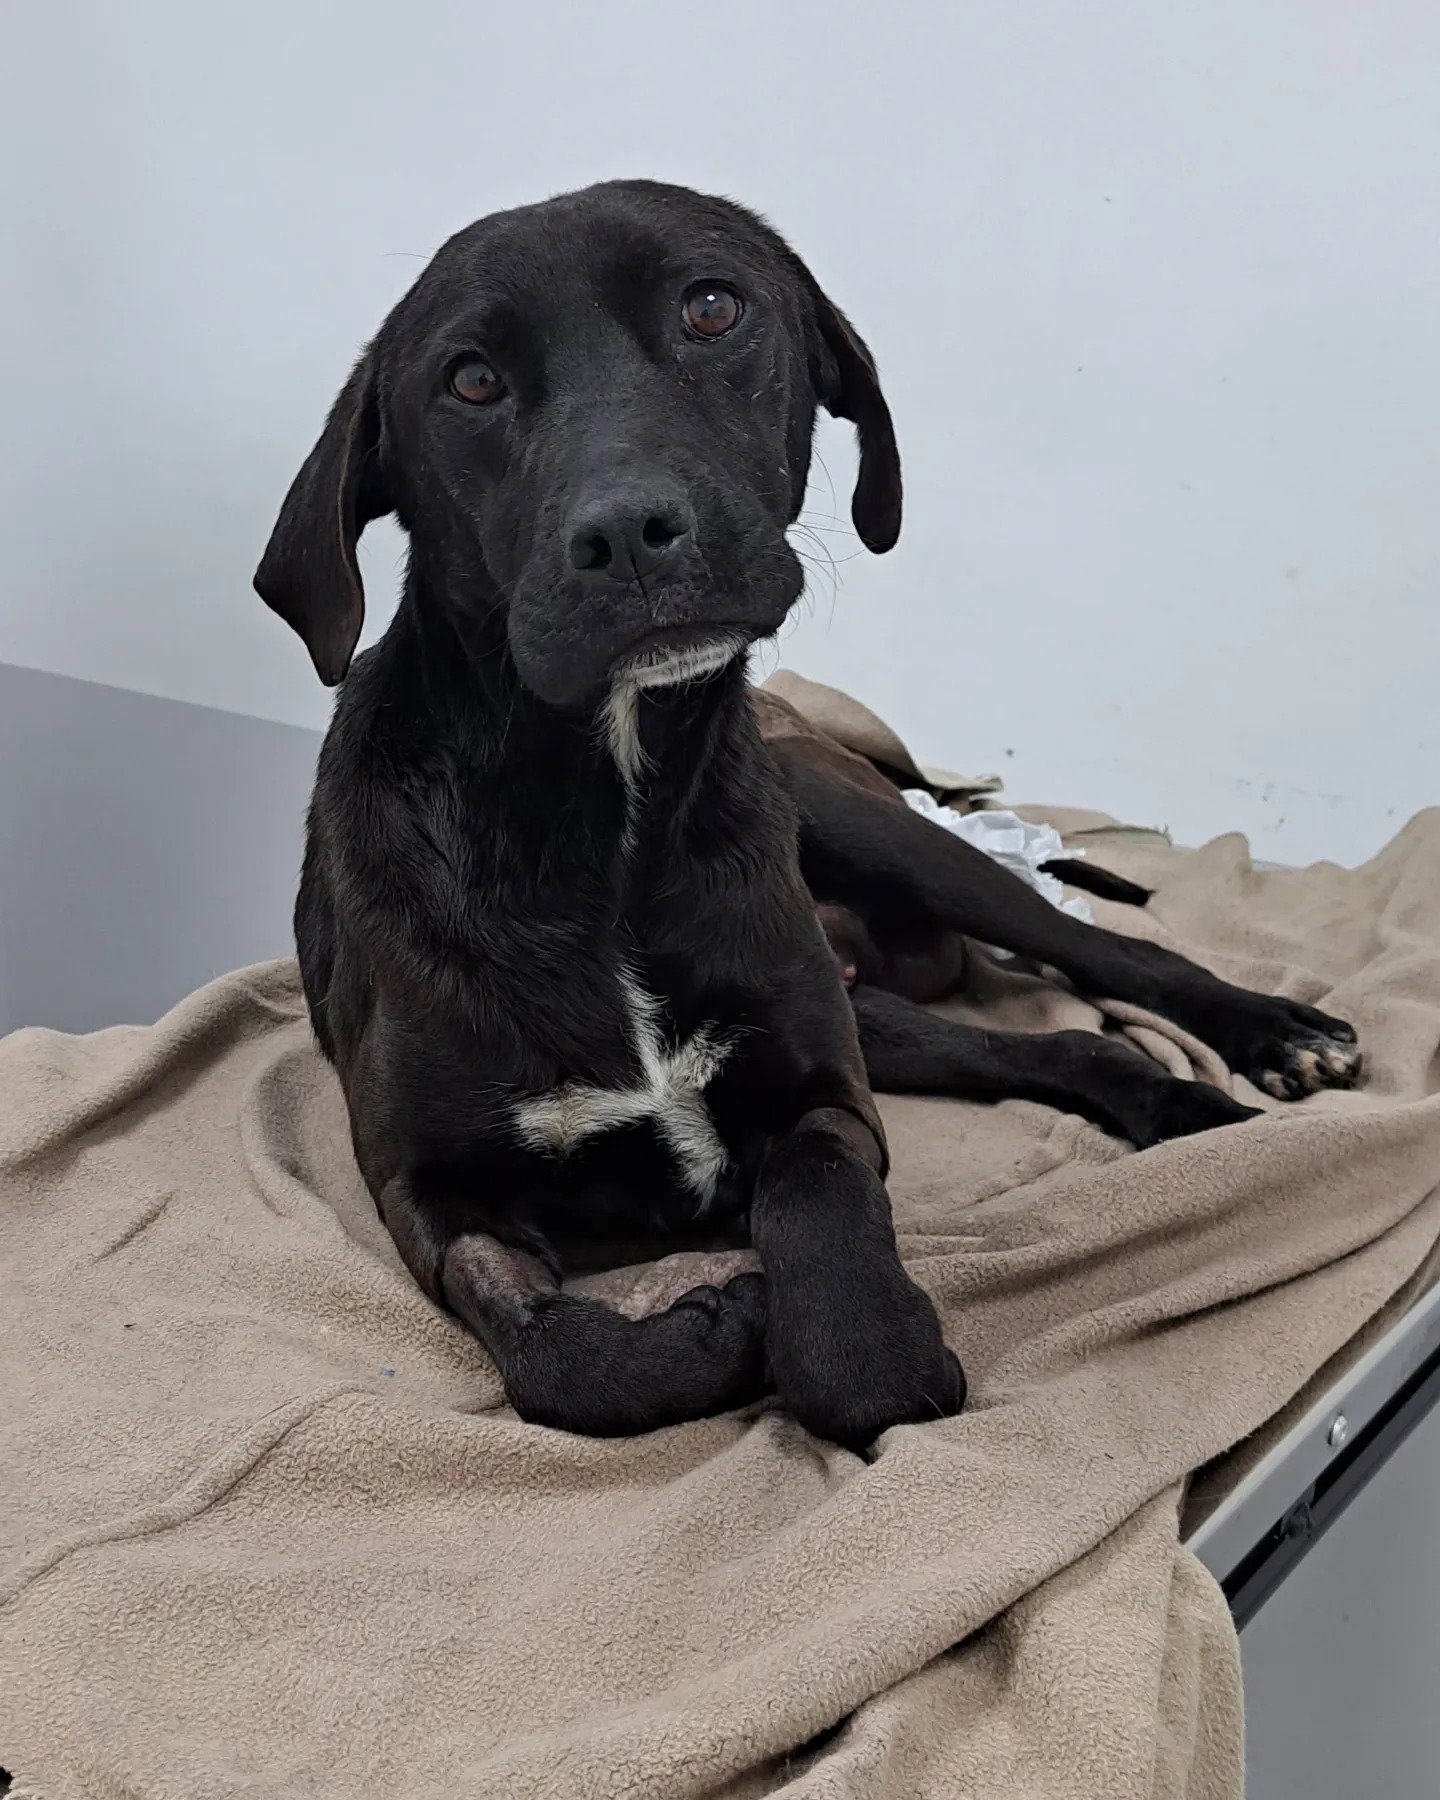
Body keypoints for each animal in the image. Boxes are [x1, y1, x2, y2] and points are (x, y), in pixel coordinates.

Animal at [259, 179, 1360, 1447]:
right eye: (471, 379)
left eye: (712, 307)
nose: (628, 533)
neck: (604, 818)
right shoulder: (432, 1195)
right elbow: (553, 1360)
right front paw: (722, 1327)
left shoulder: (820, 1092)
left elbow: (817, 1200)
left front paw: (857, 1343)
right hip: (868, 1002)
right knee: (1051, 1043)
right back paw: (1180, 1107)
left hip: (887, 848)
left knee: (1104, 954)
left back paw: (1268, 1043)